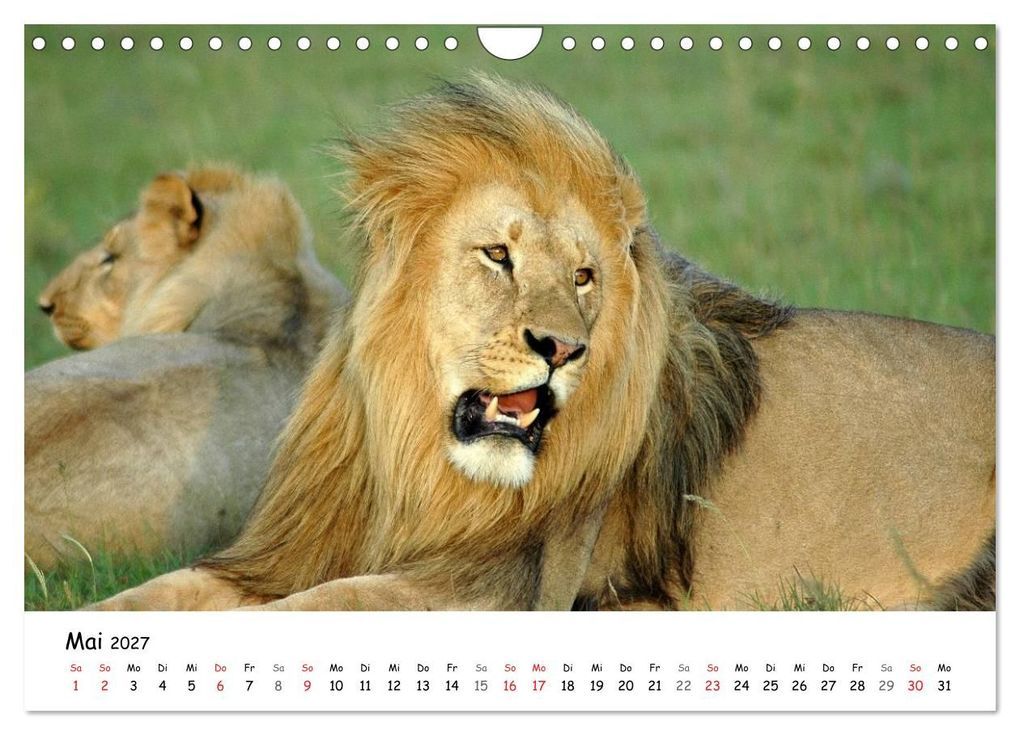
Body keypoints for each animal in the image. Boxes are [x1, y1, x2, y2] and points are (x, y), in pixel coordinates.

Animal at [90, 75, 994, 612]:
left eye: (585, 276)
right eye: (499, 255)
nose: (562, 348)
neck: (419, 464)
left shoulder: (499, 587)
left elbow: (318, 608)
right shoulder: (286, 551)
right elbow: (162, 591)